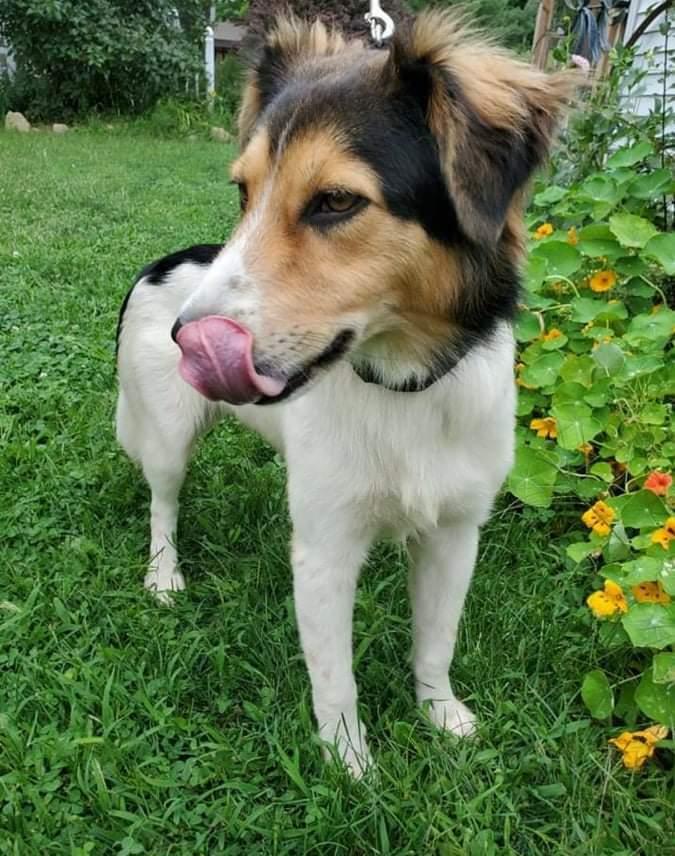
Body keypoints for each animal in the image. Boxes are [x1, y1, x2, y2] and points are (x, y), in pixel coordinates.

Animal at [117, 13, 576, 776]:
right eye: (243, 194)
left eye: (335, 201)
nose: (189, 340)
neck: (403, 387)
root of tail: (163, 263)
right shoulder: (326, 550)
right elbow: (335, 679)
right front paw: (349, 765)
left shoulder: (456, 533)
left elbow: (436, 641)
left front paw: (440, 714)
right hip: (167, 439)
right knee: (163, 506)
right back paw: (164, 578)